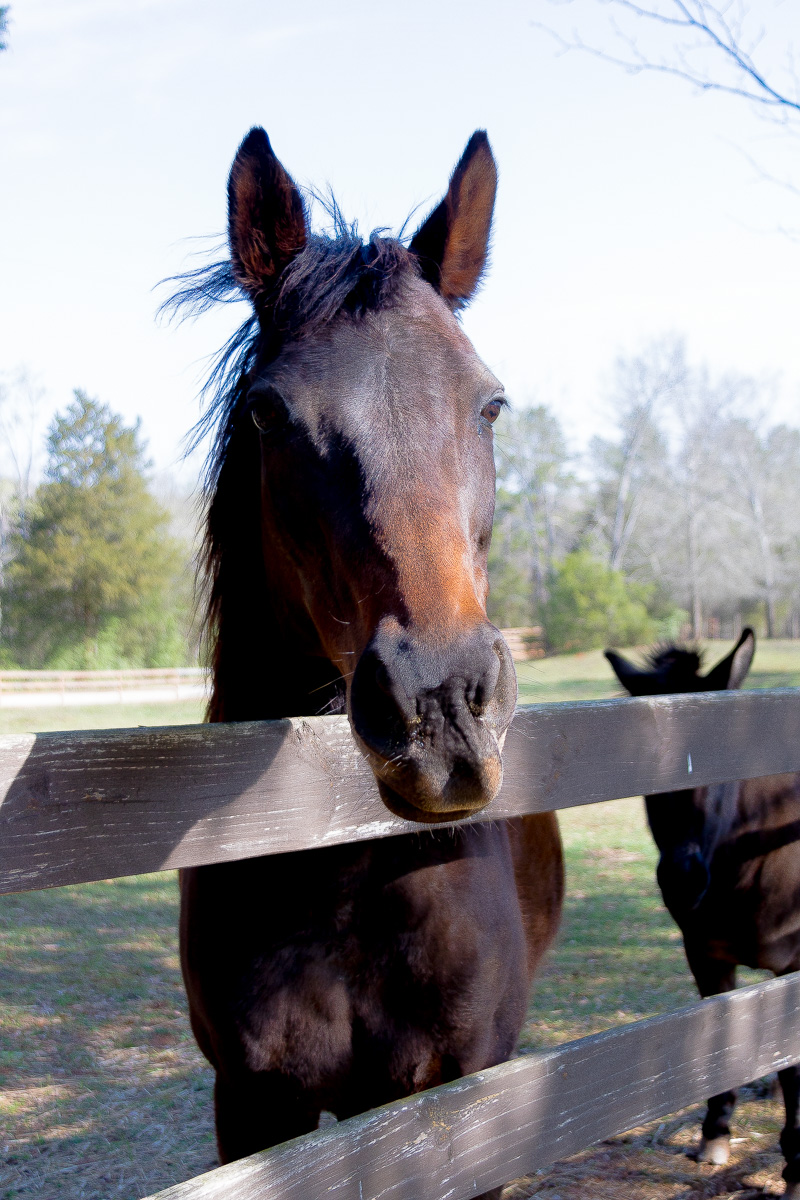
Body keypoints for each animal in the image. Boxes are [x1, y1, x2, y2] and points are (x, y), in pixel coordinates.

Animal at [606, 633, 800, 1195]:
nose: (682, 880)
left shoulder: (793, 967)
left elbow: (793, 1067)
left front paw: (795, 1166)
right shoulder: (706, 955)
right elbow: (720, 1038)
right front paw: (715, 1132)